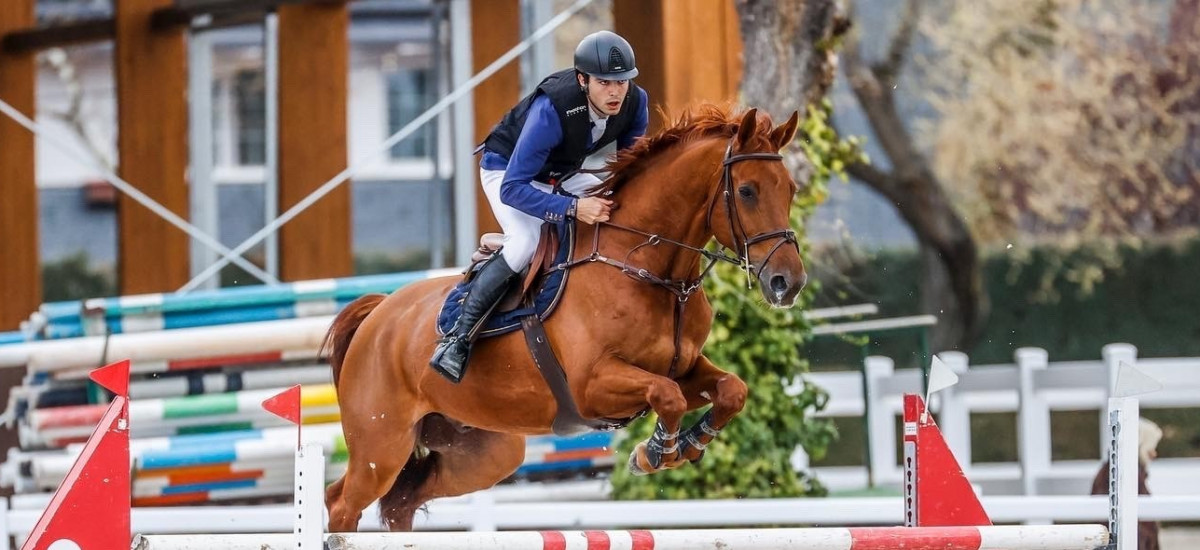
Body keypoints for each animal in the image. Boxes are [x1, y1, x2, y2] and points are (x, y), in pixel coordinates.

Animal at [321, 105, 806, 530]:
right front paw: (654, 453)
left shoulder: (684, 367)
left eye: (791, 189)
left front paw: (685, 444)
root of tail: (377, 314)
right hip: (382, 444)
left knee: (403, 501)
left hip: (482, 452)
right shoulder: (593, 385)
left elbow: (731, 390)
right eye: (746, 191)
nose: (789, 282)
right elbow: (667, 395)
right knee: (342, 503)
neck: (647, 269)